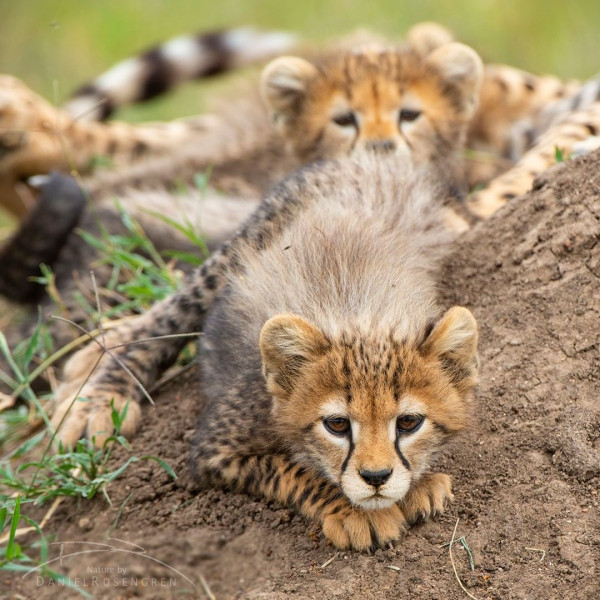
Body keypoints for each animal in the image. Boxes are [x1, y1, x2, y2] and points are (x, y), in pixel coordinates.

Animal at [50, 152, 479, 550]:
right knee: (171, 312)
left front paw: (415, 486)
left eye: (408, 423)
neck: (360, 315)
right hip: (241, 249)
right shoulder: (214, 451)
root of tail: (379, 156)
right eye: (337, 425)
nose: (375, 478)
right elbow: (293, 470)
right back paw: (99, 395)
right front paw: (355, 510)